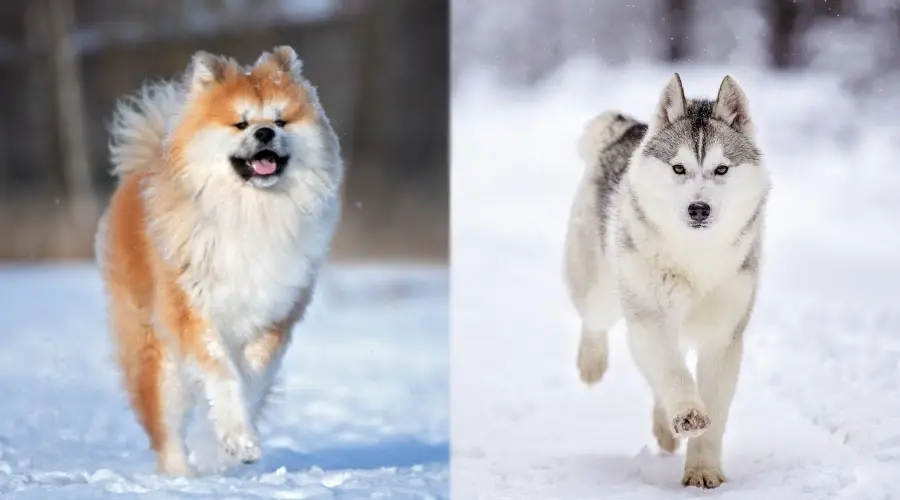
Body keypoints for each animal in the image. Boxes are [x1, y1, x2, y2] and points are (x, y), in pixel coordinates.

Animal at [93, 45, 342, 474]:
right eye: (241, 124)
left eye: (280, 120)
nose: (265, 132)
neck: (252, 214)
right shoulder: (191, 311)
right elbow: (222, 375)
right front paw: (237, 437)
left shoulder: (275, 314)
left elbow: (252, 376)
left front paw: (228, 443)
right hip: (158, 357)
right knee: (165, 429)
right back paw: (181, 475)